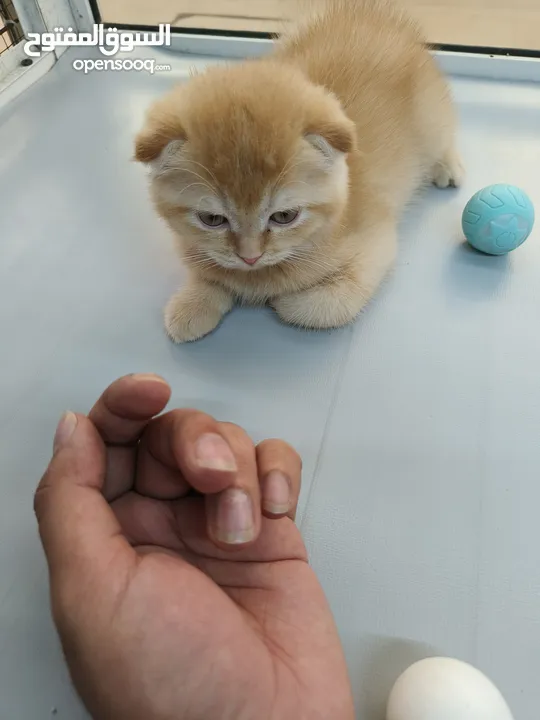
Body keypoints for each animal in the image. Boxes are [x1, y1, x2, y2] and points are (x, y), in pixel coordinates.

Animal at [135, 0, 464, 342]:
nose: (250, 257)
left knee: (444, 134)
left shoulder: (376, 244)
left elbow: (328, 306)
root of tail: (372, 13)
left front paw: (283, 301)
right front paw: (193, 302)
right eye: (212, 219)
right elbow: (209, 270)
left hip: (432, 118)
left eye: (284, 216)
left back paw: (448, 166)